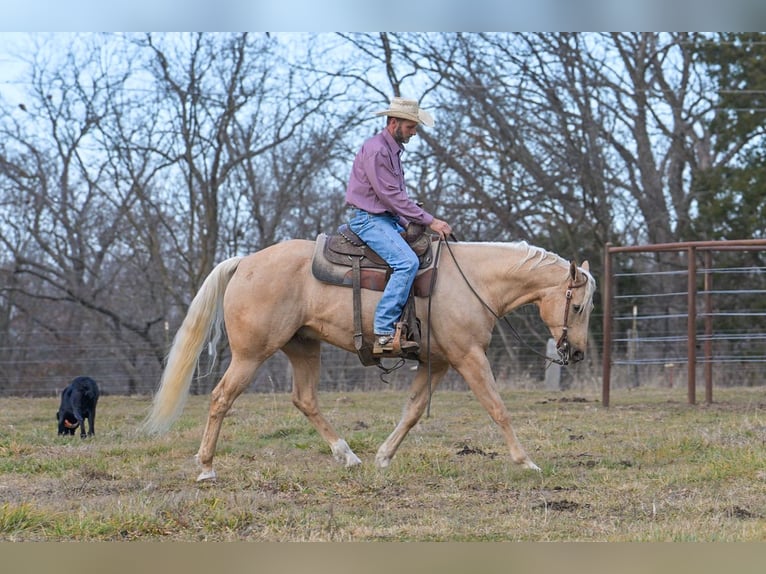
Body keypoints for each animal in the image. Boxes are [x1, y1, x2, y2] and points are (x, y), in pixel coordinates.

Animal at [143, 238, 596, 481]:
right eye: (578, 307)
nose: (576, 352)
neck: (473, 281)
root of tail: (245, 262)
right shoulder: (468, 357)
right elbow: (497, 407)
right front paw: (526, 461)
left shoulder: (438, 362)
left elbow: (412, 411)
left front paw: (383, 456)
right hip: (251, 354)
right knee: (221, 398)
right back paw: (206, 467)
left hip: (303, 347)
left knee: (305, 400)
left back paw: (348, 455)